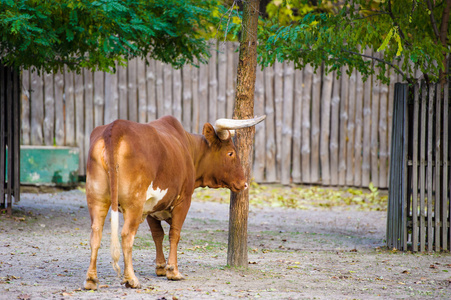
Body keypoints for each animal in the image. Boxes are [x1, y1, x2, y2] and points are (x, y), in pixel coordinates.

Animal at [83, 114, 264, 288]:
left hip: (97, 200)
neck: (188, 148)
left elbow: (157, 235)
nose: (244, 183)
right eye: (231, 153)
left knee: (96, 234)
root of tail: (115, 129)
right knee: (127, 235)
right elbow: (174, 234)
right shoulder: (183, 201)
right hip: (134, 204)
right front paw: (173, 271)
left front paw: (161, 267)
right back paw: (131, 279)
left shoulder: (151, 208)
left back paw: (91, 279)